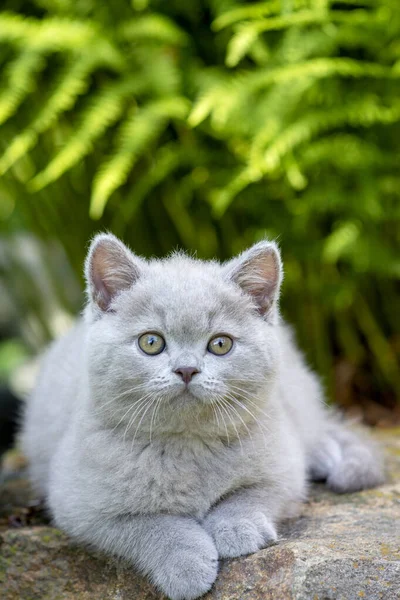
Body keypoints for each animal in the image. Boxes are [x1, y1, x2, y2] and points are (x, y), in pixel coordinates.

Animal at [21, 233, 384, 600]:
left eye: (221, 344)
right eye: (150, 342)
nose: (186, 369)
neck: (188, 445)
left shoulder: (283, 467)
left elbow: (253, 493)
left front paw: (238, 528)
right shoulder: (79, 504)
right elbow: (147, 524)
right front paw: (186, 564)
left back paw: (324, 455)